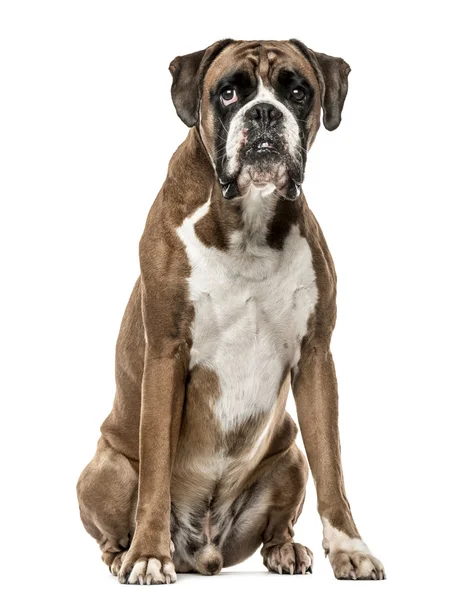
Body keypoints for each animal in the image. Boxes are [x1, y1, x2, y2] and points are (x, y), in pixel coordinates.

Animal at [77, 39, 386, 584]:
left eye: (298, 92)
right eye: (228, 93)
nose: (263, 112)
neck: (248, 219)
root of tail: (202, 551)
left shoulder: (316, 358)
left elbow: (332, 466)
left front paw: (350, 548)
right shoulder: (166, 354)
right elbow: (155, 468)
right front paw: (148, 554)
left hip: (289, 452)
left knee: (282, 513)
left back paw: (286, 550)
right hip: (104, 470)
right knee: (115, 522)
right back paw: (125, 554)